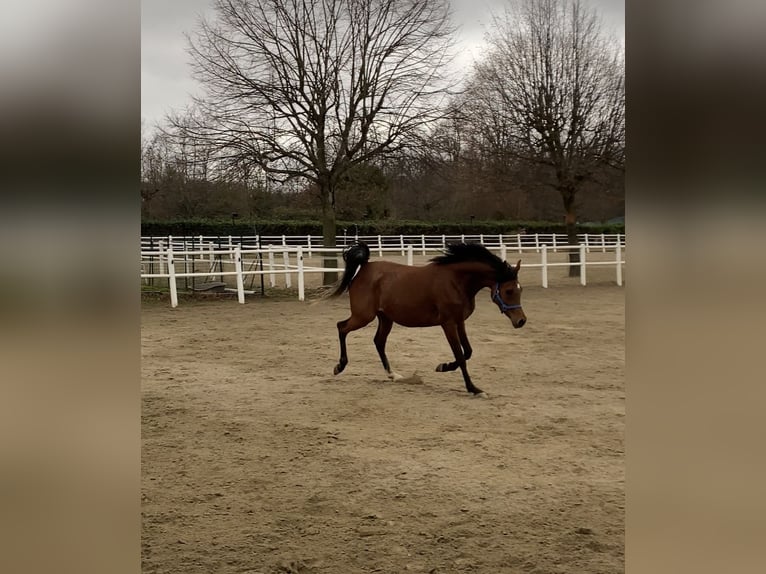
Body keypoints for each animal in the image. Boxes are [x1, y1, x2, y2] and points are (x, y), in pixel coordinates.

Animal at [329, 242, 526, 395]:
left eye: (520, 289)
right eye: (509, 291)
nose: (521, 321)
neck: (456, 281)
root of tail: (365, 268)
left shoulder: (459, 321)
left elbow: (468, 351)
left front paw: (443, 366)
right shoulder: (448, 323)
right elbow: (460, 355)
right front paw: (473, 388)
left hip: (385, 318)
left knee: (378, 341)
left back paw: (393, 375)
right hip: (363, 316)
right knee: (341, 327)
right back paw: (339, 366)